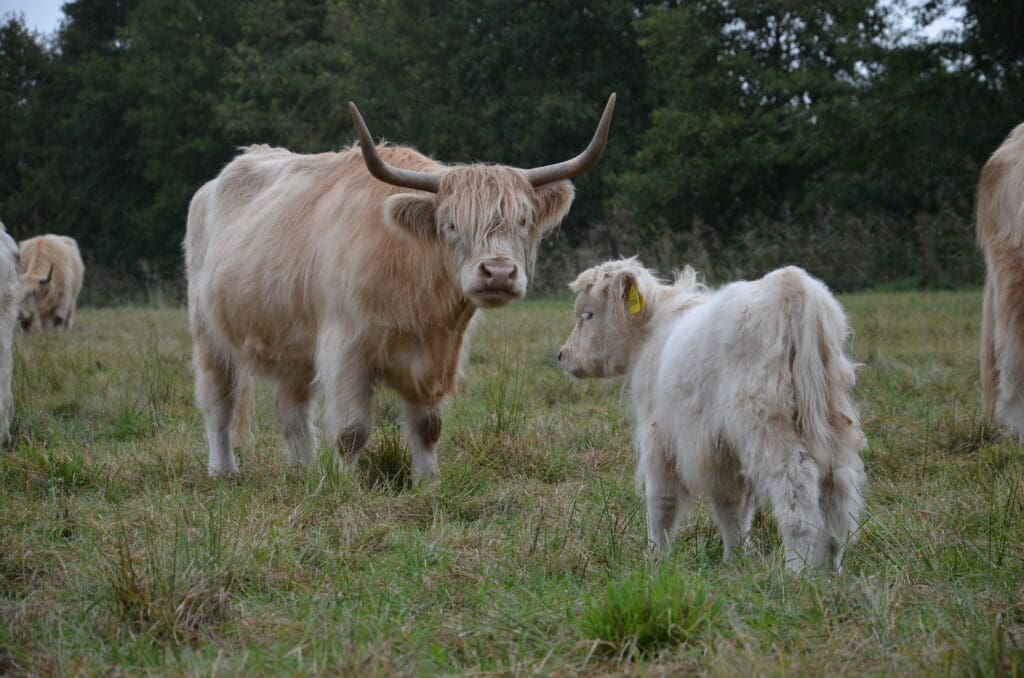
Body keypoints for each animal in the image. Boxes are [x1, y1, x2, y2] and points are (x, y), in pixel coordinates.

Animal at [185, 94, 614, 483]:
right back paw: (223, 470)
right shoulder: (345, 349)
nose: (498, 273)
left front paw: (427, 482)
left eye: (523, 220)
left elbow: (427, 426)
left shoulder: (437, 356)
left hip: (291, 345)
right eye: (450, 225)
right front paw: (345, 486)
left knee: (292, 411)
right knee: (218, 402)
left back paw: (304, 470)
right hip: (207, 333)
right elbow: (351, 430)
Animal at [561, 260, 864, 573]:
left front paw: (656, 559)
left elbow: (661, 502)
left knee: (796, 490)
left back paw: (797, 571)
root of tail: (790, 282)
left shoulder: (660, 436)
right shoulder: (721, 451)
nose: (562, 355)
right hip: (832, 421)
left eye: (587, 314)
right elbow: (732, 508)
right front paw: (735, 560)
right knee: (838, 491)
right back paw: (830, 568)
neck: (651, 334)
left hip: (768, 425)